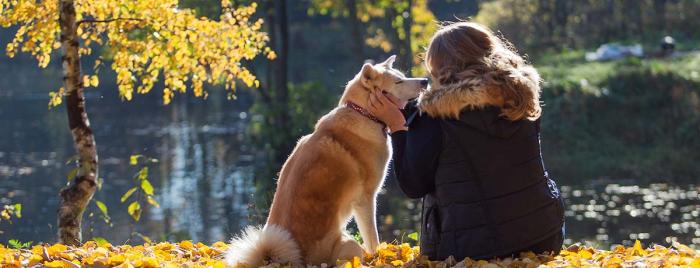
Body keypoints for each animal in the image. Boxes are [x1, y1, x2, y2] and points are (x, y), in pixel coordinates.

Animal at [227, 56, 424, 266]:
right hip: (350, 244)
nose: (425, 81)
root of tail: (282, 259)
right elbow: (373, 240)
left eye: (402, 77)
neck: (362, 113)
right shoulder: (365, 199)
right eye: (398, 82)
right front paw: (380, 258)